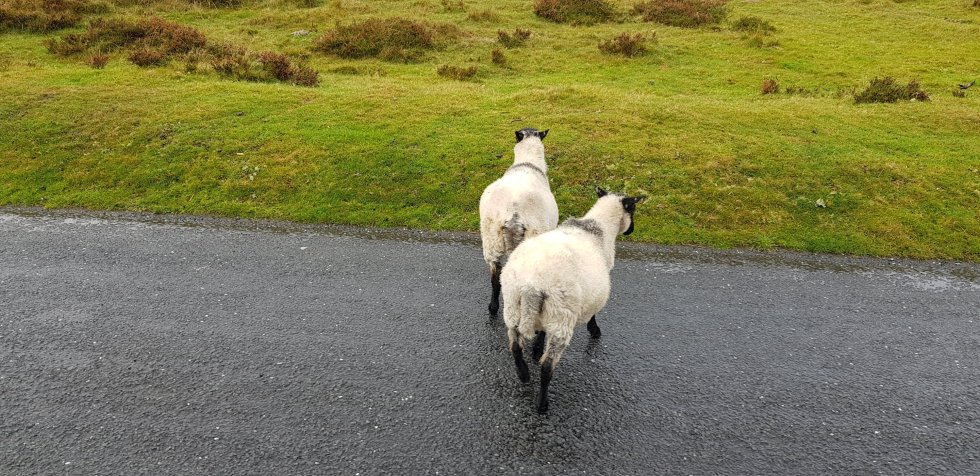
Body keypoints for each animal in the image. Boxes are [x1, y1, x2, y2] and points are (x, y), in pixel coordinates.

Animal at [500, 186, 644, 413]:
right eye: (633, 208)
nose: (632, 230)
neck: (599, 227)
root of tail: (531, 285)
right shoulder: (592, 295)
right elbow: (594, 314)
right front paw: (595, 331)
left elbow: (541, 333)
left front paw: (537, 347)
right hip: (562, 314)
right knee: (546, 367)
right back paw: (542, 404)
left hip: (514, 305)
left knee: (515, 347)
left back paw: (523, 375)